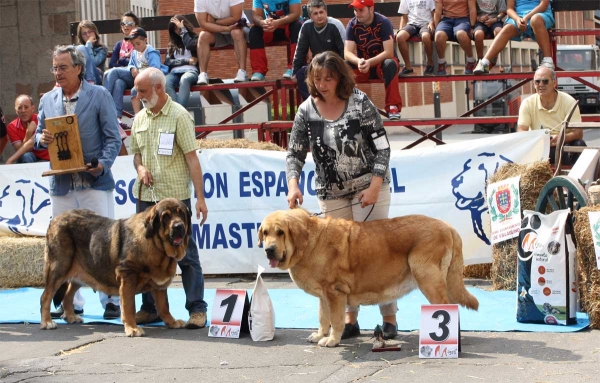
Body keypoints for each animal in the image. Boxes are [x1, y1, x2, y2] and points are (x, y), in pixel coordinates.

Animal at [40, 200, 190, 338]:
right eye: (166, 216)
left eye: (181, 213)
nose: (178, 226)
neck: (157, 245)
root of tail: (55, 219)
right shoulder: (128, 276)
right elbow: (129, 306)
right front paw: (132, 328)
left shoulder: (159, 285)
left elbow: (164, 306)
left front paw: (172, 322)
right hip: (59, 269)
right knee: (46, 296)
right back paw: (47, 322)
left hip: (82, 273)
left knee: (67, 295)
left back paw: (71, 317)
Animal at [258, 208, 478, 350]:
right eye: (265, 232)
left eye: (280, 232)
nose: (269, 249)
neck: (309, 242)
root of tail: (448, 227)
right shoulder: (323, 296)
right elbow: (323, 318)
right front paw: (320, 335)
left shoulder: (335, 293)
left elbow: (336, 320)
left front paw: (332, 340)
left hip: (428, 279)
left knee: (447, 309)